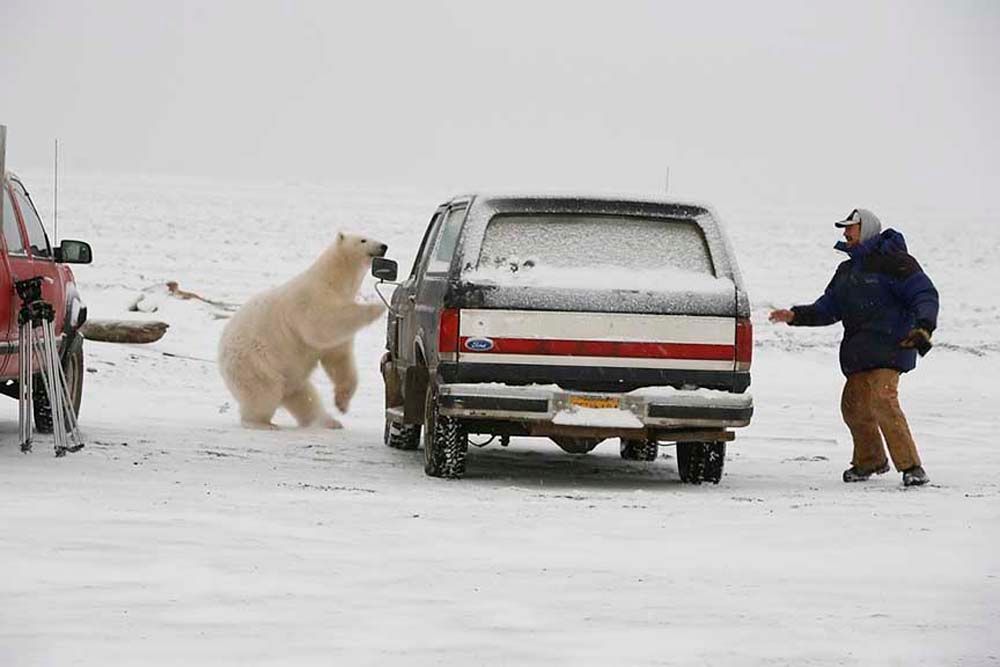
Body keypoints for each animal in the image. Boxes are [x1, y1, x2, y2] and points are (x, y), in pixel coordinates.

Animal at [217, 232, 388, 429]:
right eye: (363, 239)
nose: (383, 246)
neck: (331, 281)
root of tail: (221, 358)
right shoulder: (311, 299)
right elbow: (322, 325)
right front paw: (377, 307)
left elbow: (338, 358)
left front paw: (342, 403)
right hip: (255, 363)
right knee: (264, 392)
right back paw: (262, 423)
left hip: (290, 373)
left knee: (304, 396)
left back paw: (329, 421)